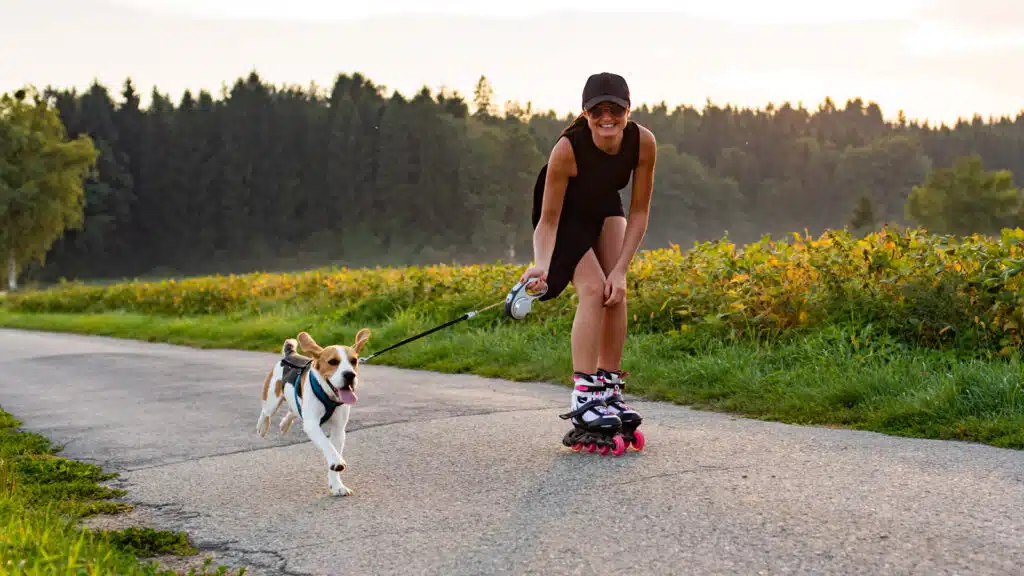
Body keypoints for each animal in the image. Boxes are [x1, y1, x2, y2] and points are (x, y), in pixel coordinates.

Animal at [256, 327, 372, 494]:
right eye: (333, 362)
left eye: (354, 361)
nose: (350, 375)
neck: (328, 395)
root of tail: (291, 354)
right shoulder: (312, 425)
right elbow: (327, 445)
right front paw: (337, 461)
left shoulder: (339, 430)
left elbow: (334, 451)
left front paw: (337, 486)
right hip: (273, 399)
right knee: (265, 412)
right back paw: (262, 427)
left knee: (292, 411)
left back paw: (284, 425)